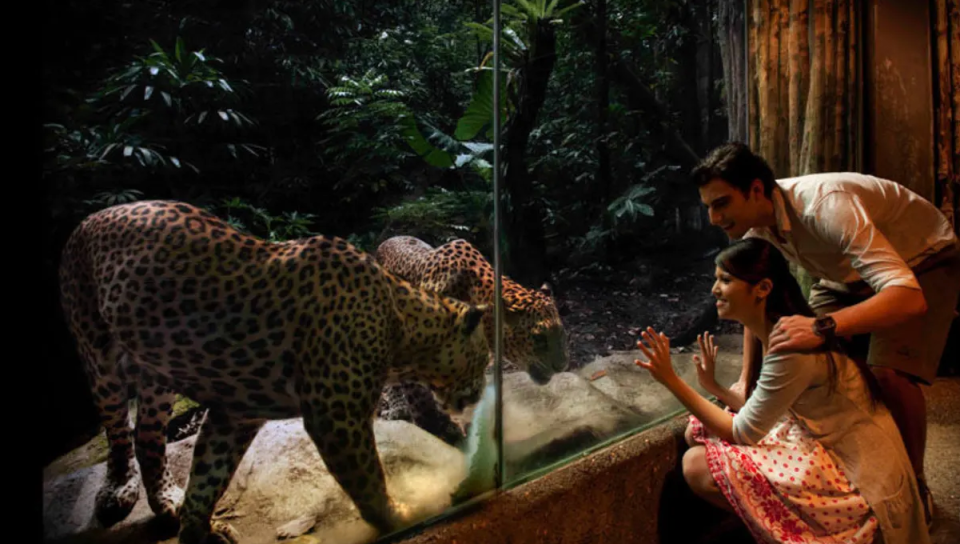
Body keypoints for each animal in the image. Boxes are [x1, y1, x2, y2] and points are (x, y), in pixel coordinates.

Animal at [57, 201, 492, 544]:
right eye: (484, 358)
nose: (481, 391)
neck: (402, 324)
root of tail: (92, 216)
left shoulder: (235, 414)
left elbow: (207, 477)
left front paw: (199, 531)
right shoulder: (335, 418)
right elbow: (367, 478)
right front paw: (398, 516)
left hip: (156, 374)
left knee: (147, 434)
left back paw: (167, 501)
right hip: (97, 353)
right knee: (117, 429)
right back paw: (117, 490)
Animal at [374, 236, 568, 444]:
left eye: (561, 333)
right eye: (539, 338)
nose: (562, 367)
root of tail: (386, 240)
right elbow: (419, 395)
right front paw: (437, 427)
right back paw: (398, 407)